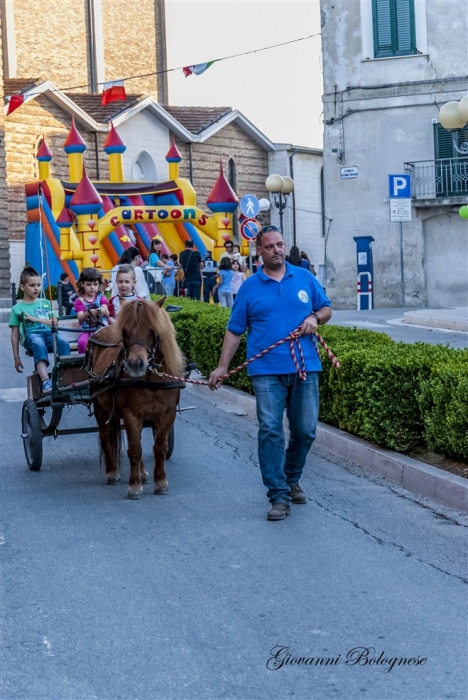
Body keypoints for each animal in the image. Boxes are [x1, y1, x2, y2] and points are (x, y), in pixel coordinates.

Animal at [87, 298, 185, 500]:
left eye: (153, 329)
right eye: (125, 330)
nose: (135, 364)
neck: (152, 379)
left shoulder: (167, 415)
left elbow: (159, 448)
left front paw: (160, 482)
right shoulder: (131, 415)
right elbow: (134, 450)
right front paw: (134, 486)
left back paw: (143, 472)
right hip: (100, 405)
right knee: (106, 434)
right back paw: (112, 472)